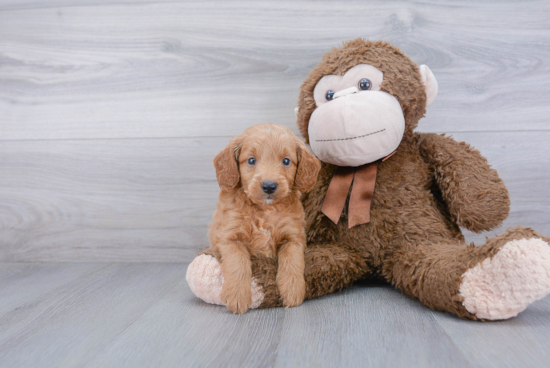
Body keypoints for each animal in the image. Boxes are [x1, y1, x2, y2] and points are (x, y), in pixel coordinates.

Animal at [208, 123, 322, 314]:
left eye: (286, 161)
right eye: (251, 160)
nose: (269, 186)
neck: (265, 210)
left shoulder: (293, 236)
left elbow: (292, 260)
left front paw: (293, 290)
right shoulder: (228, 236)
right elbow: (238, 262)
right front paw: (237, 296)